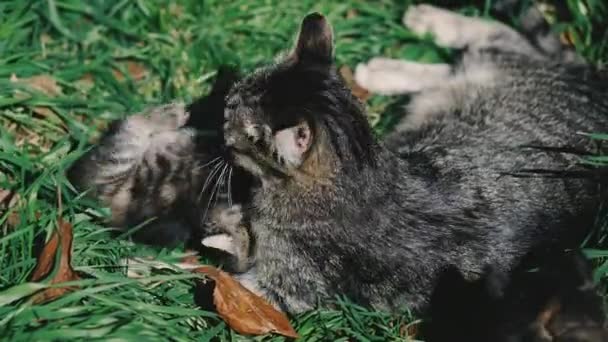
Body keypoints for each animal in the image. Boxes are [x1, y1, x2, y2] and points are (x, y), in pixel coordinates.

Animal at [221, 6, 604, 316]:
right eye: (231, 98)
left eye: (233, 117)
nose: (222, 118)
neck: (365, 178)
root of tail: (591, 81)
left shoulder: (291, 287)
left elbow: (232, 284)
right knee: (492, 49)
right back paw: (399, 51)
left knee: (500, 39)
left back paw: (410, 37)